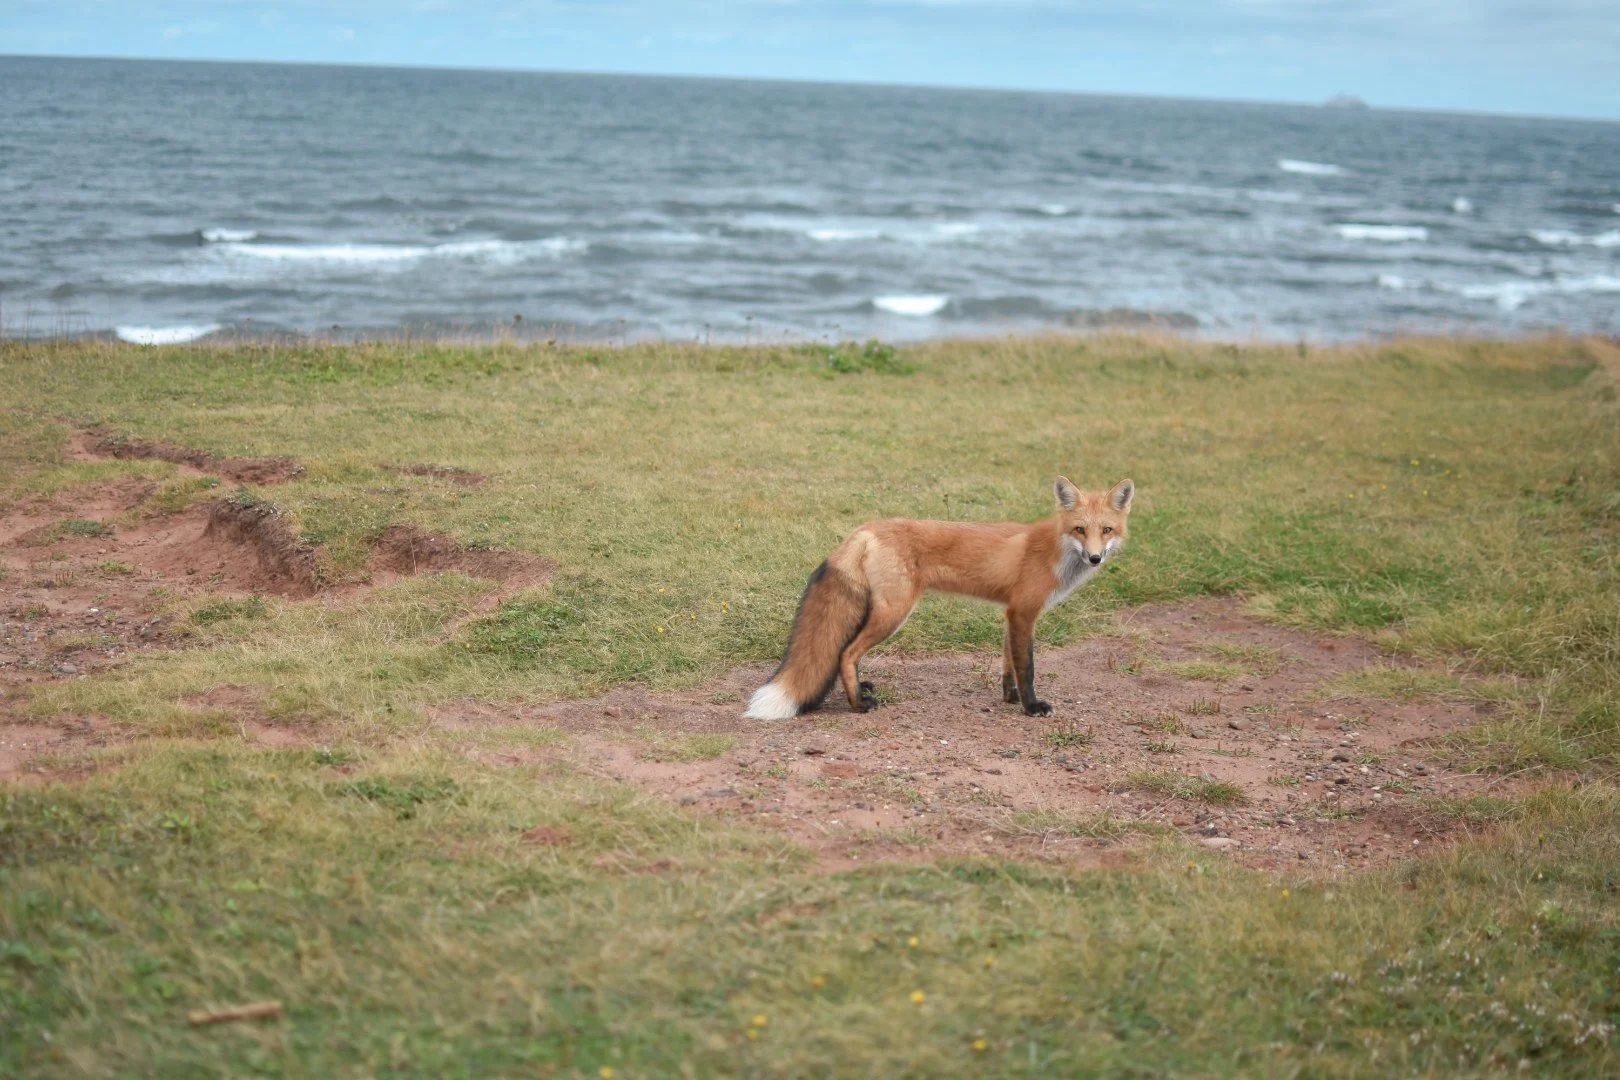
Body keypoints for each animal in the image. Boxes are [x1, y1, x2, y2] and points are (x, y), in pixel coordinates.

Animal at [746, 476, 1134, 721]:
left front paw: (1009, 698)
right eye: (1080, 529)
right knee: (846, 653)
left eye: (1107, 530)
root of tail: (863, 530)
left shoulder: (1010, 614)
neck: (1055, 551)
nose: (1095, 558)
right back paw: (859, 704)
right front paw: (1032, 707)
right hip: (894, 612)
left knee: (845, 653)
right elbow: (1027, 667)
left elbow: (1008, 664)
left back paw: (859, 687)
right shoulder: (1024, 612)